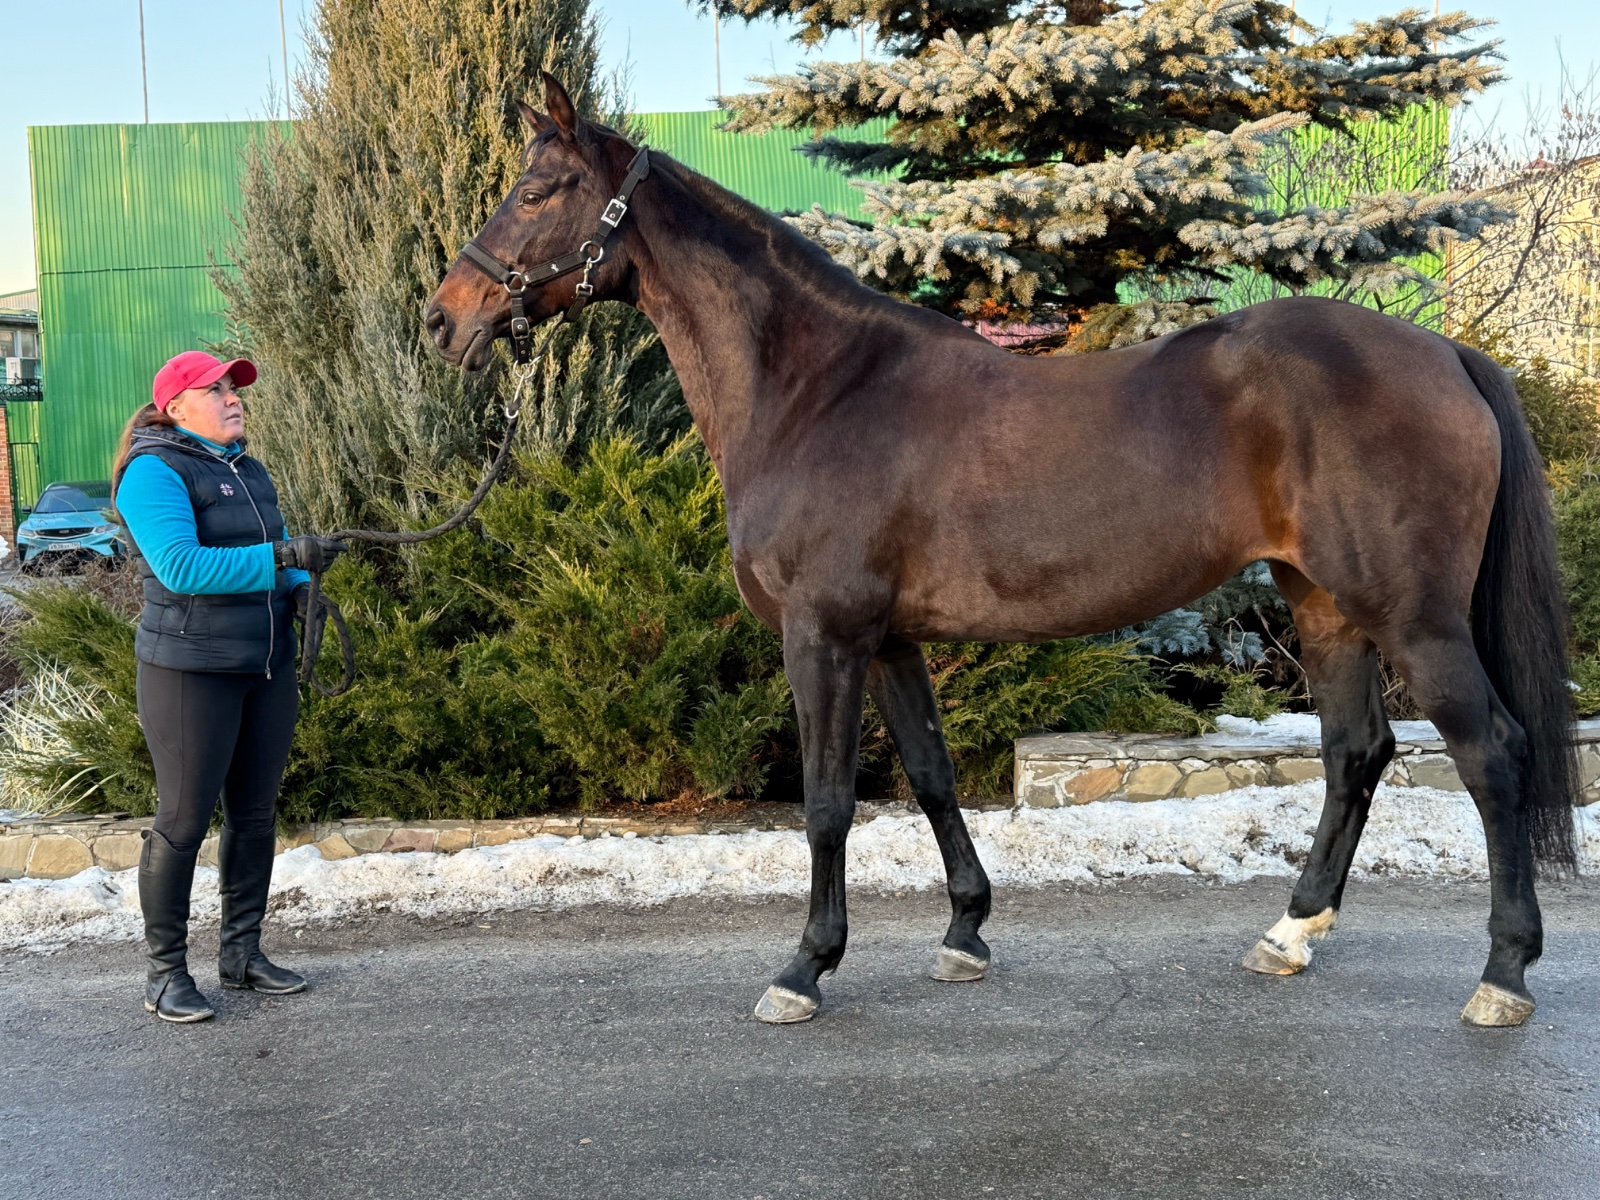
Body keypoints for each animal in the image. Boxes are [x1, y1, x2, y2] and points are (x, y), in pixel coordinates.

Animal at [426, 73, 1578, 1029]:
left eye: (541, 189)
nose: (445, 319)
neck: (820, 389)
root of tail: (1445, 352)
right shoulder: (889, 639)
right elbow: (932, 777)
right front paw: (965, 934)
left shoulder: (822, 635)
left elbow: (829, 804)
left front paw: (804, 969)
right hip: (1323, 604)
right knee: (1355, 753)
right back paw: (1289, 936)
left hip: (1412, 616)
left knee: (1492, 752)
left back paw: (1502, 975)